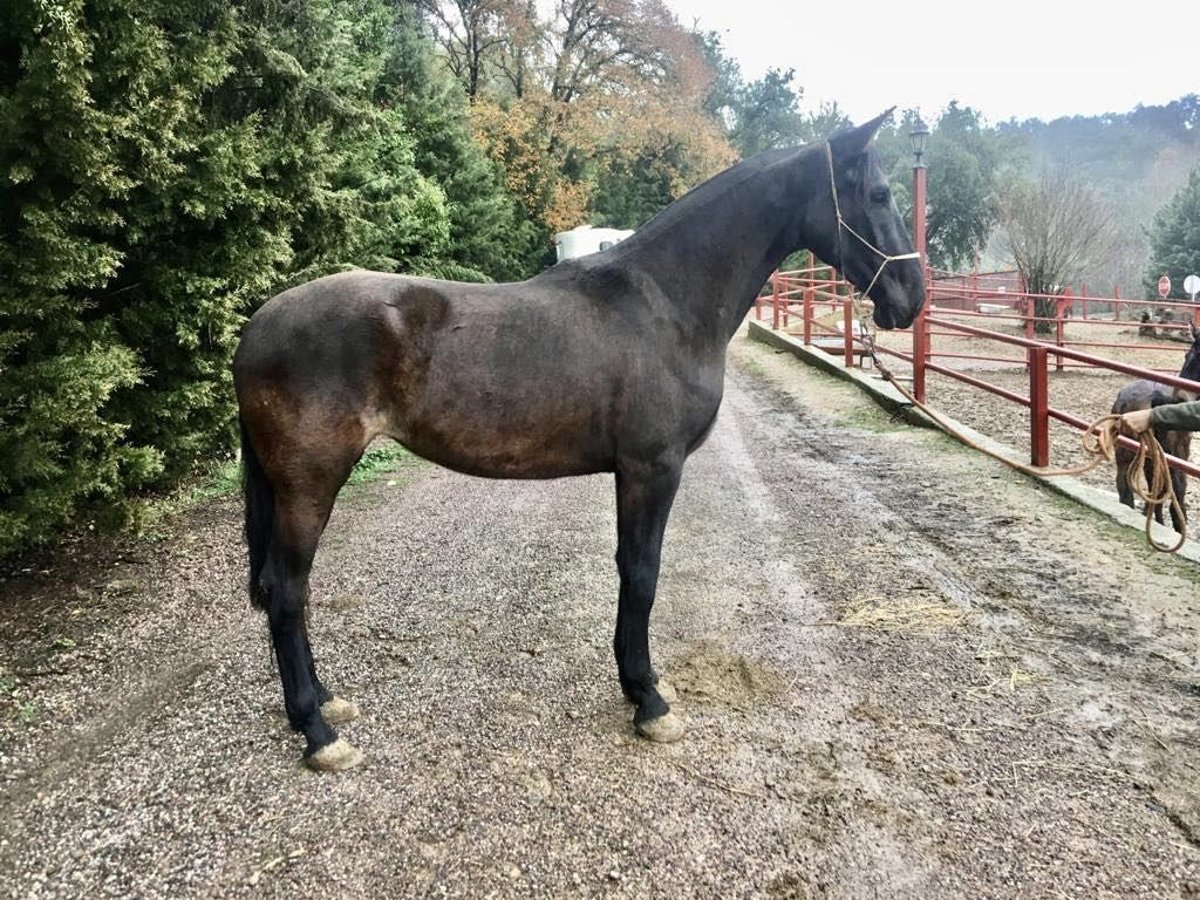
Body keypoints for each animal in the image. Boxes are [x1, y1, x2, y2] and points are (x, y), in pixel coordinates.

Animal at [236, 109, 926, 772]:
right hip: (310, 483)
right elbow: (643, 573)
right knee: (288, 592)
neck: (664, 302)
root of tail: (256, 326)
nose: (911, 298)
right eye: (880, 193)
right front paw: (650, 701)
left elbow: (628, 568)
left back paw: (324, 704)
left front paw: (635, 682)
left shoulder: (632, 471)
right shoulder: (653, 467)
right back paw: (318, 732)